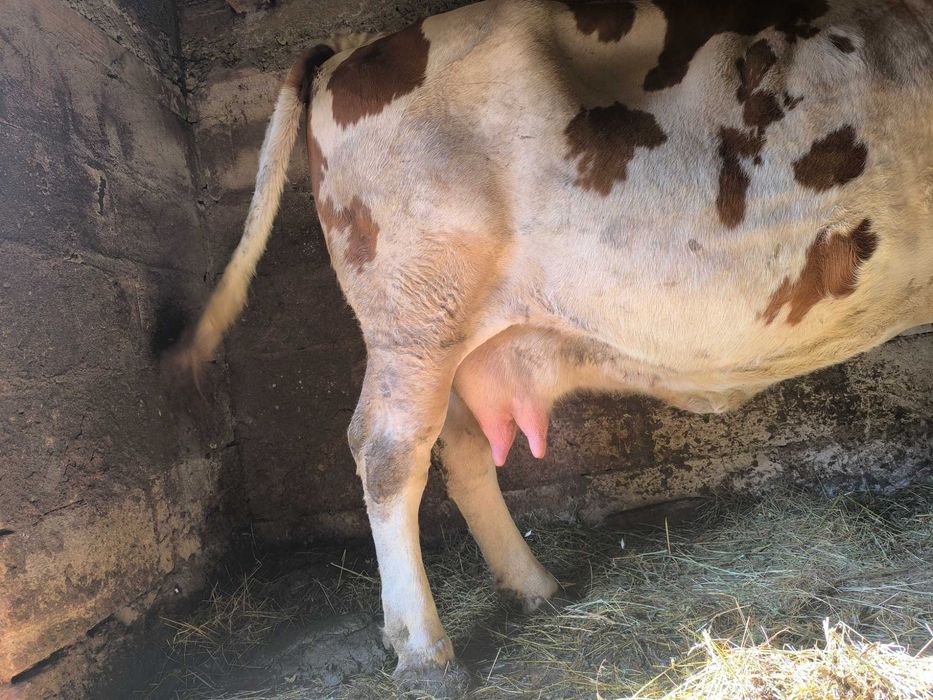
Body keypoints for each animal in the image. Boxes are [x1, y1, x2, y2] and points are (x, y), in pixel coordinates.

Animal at [168, 0, 933, 692]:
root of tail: (355, 55)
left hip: (458, 337)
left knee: (460, 448)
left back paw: (533, 585)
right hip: (414, 312)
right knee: (388, 452)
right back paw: (424, 652)